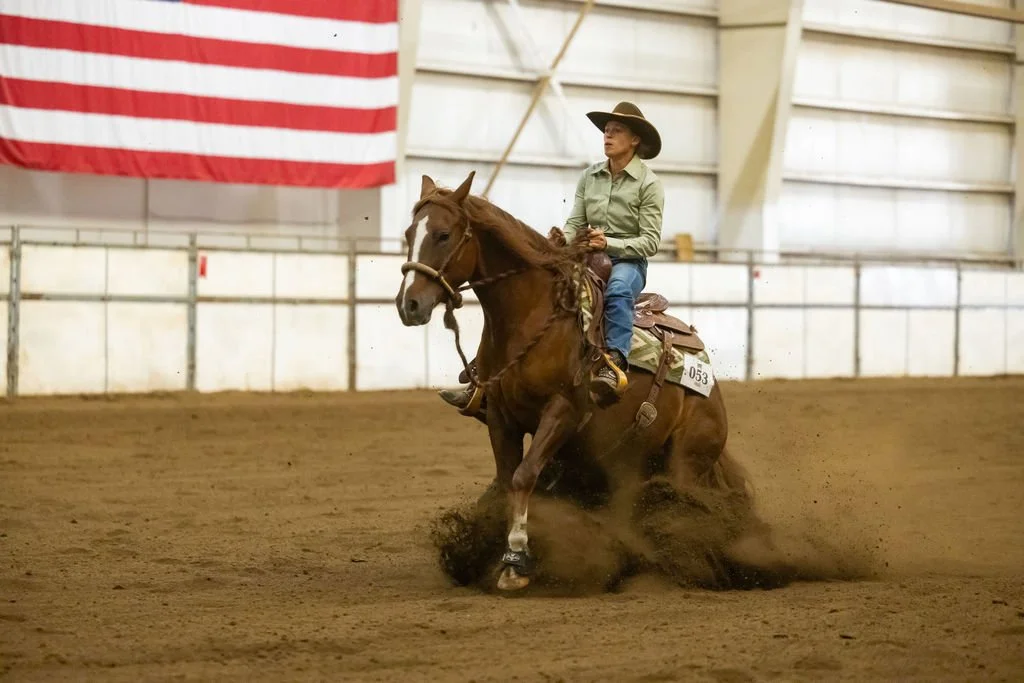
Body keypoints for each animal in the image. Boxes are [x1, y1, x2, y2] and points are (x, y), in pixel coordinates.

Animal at [394, 170, 753, 592]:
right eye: (408, 232)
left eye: (444, 234)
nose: (409, 304)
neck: (531, 316)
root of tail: (712, 390)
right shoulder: (501, 417)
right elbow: (506, 482)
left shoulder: (562, 410)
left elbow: (523, 477)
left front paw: (516, 561)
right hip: (624, 465)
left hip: (685, 461)